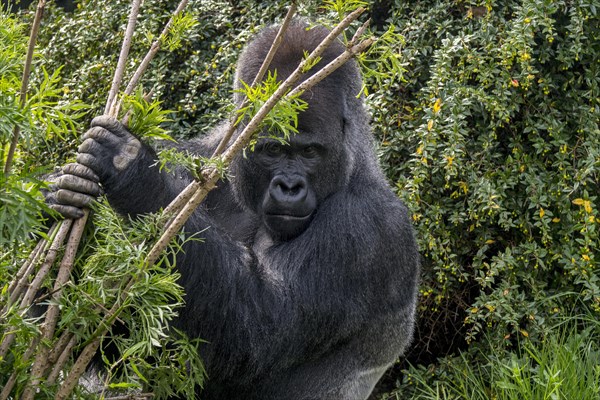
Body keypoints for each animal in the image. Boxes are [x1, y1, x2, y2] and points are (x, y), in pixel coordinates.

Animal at [45, 19, 418, 400]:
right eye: (273, 149)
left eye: (310, 152)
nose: (290, 187)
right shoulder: (203, 157)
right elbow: (109, 333)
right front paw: (61, 198)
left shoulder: (370, 226)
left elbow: (260, 325)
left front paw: (131, 169)